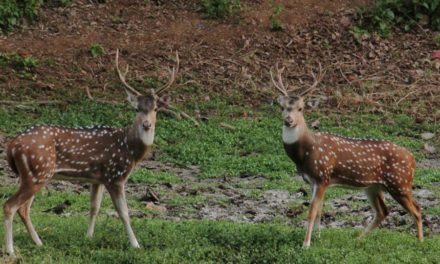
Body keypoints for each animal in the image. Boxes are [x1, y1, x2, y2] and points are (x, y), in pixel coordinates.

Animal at [3, 49, 179, 256]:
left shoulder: (98, 179)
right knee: (10, 205)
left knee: (24, 208)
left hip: (33, 175)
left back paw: (39, 243)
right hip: (37, 172)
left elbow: (94, 207)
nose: (147, 124)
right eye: (137, 108)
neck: (130, 149)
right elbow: (124, 213)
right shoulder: (115, 176)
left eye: (156, 109)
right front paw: (136, 245)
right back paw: (10, 250)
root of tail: (11, 146)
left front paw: (88, 237)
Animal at [270, 63, 424, 248]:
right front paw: (318, 237)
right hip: (374, 186)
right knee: (383, 211)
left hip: (400, 182)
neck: (305, 152)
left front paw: (306, 244)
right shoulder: (313, 181)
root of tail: (413, 159)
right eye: (282, 107)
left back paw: (420, 241)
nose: (289, 120)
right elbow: (320, 210)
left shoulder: (323, 175)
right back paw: (358, 239)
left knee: (417, 209)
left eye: (301, 108)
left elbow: (312, 211)